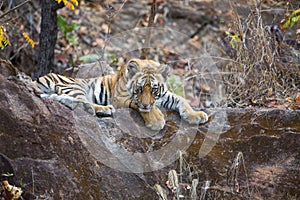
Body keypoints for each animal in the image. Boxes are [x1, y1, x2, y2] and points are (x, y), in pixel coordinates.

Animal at [17, 58, 209, 130]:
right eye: (140, 89)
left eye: (154, 89)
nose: (147, 103)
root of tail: (38, 78)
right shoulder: (122, 98)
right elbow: (139, 105)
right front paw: (156, 120)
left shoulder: (165, 95)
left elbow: (182, 100)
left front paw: (196, 115)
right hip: (74, 85)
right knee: (81, 102)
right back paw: (104, 109)